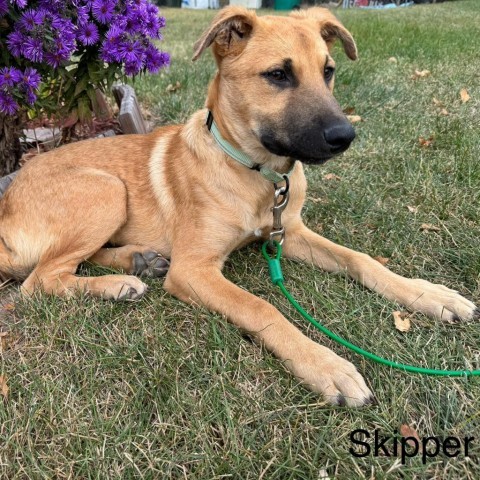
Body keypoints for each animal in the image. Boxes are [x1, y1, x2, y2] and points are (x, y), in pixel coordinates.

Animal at [0, 6, 480, 404]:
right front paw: (325, 365)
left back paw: (137, 261)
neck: (257, 174)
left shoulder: (290, 233)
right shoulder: (194, 270)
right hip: (106, 190)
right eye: (278, 75)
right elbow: (261, 306)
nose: (345, 136)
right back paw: (117, 284)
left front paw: (429, 294)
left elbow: (360, 260)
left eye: (328, 71)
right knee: (39, 280)